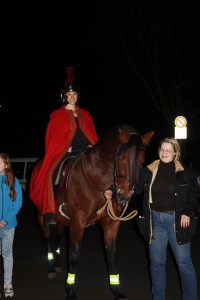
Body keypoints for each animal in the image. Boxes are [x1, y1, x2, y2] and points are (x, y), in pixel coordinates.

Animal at [35, 123, 154, 298]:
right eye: (120, 159)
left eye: (141, 162)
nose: (123, 196)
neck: (95, 178)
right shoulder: (78, 222)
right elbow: (74, 255)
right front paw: (70, 290)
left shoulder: (112, 223)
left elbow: (111, 255)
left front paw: (116, 290)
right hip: (42, 217)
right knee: (48, 240)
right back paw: (50, 268)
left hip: (62, 221)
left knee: (57, 237)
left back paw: (56, 264)